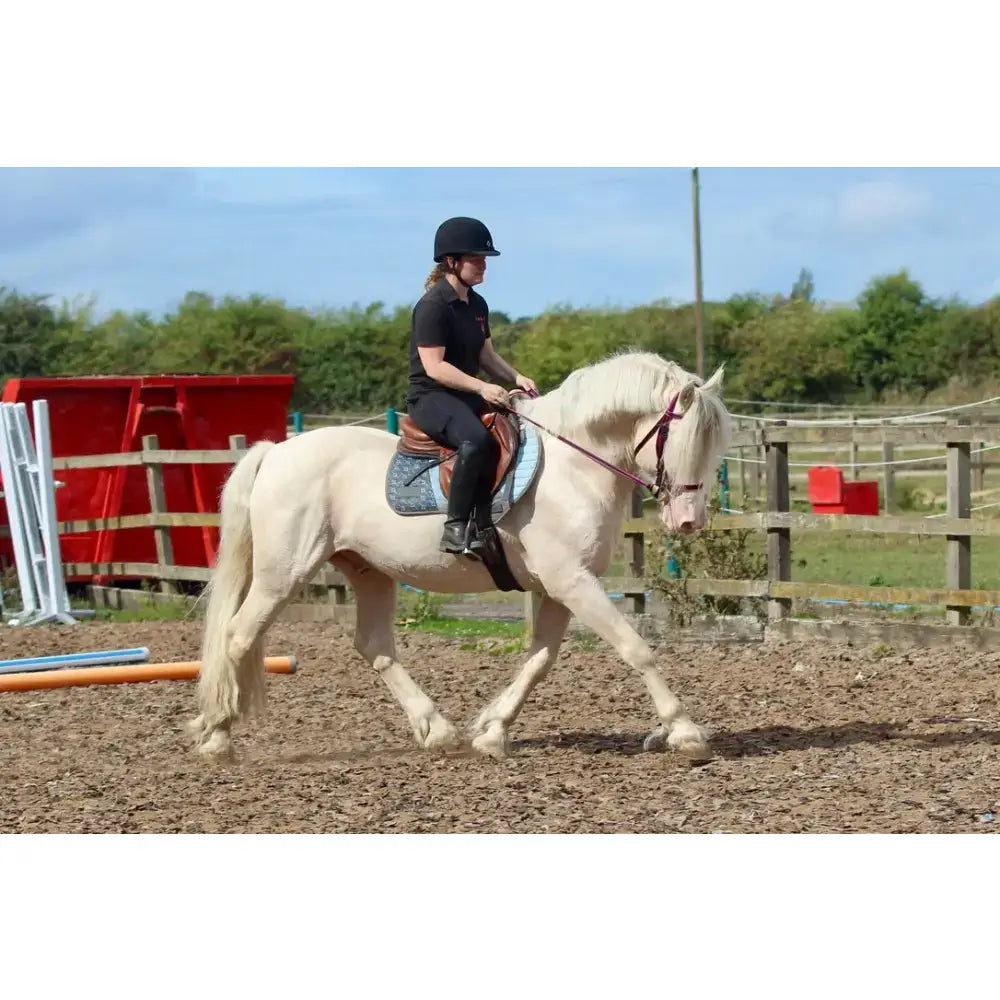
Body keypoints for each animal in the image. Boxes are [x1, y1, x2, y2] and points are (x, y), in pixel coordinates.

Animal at [187, 350, 732, 763]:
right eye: (685, 441)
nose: (690, 521)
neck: (574, 464)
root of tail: (275, 452)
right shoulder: (572, 581)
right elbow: (635, 648)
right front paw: (685, 733)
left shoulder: (561, 586)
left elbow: (540, 660)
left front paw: (491, 731)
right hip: (283, 573)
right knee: (239, 635)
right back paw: (217, 737)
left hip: (367, 570)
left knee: (374, 645)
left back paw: (436, 729)